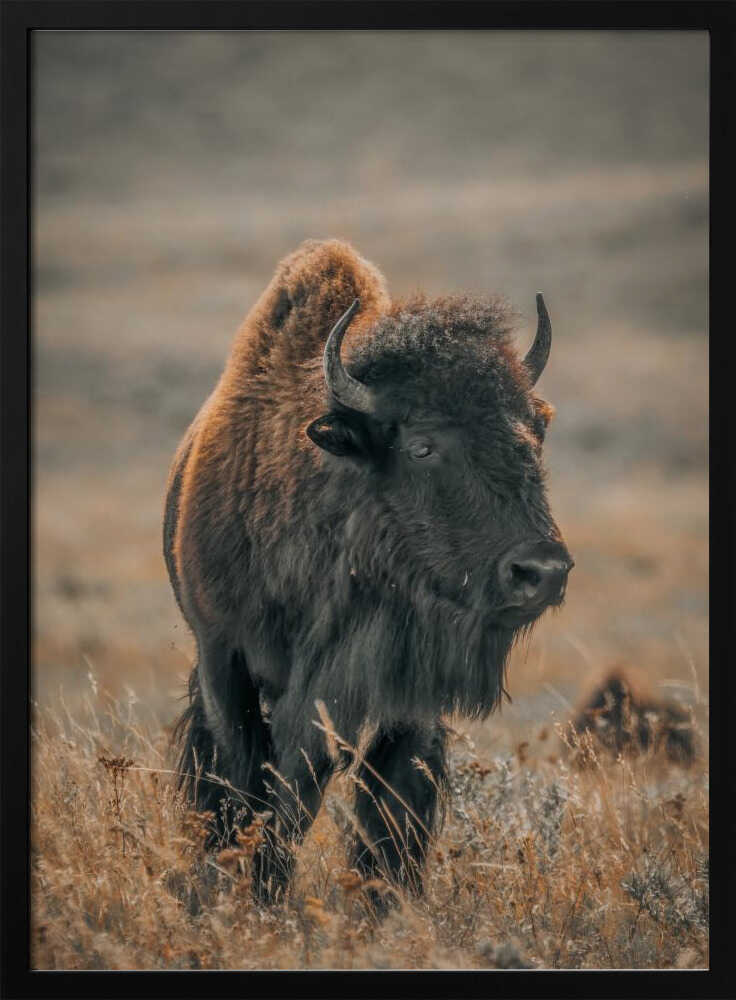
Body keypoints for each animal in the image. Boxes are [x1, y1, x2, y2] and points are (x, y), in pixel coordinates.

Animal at [165, 239, 573, 905]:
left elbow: (389, 809)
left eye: (534, 434)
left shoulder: (404, 696)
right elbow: (254, 786)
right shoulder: (225, 659)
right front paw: (251, 891)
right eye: (422, 445)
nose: (541, 572)